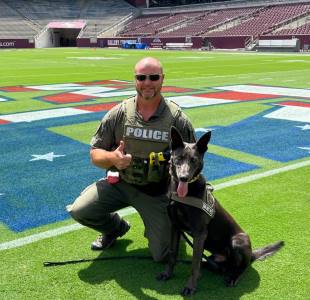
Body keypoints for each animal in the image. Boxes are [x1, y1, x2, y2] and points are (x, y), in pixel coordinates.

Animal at [157, 126, 284, 296]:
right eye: (179, 158)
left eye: (194, 160)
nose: (184, 178)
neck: (185, 195)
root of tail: (252, 253)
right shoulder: (175, 227)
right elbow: (173, 254)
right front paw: (167, 274)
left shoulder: (199, 234)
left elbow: (194, 265)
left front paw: (190, 287)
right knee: (209, 263)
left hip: (238, 240)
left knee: (242, 267)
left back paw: (232, 277)